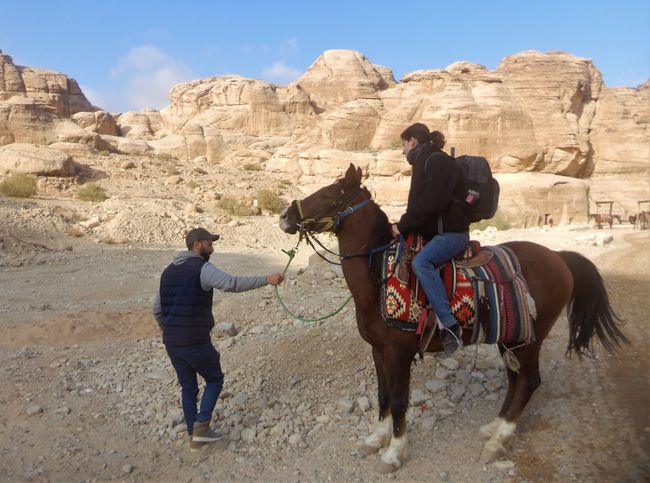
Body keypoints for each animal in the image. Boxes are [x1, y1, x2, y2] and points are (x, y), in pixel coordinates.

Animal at [276, 165, 624, 472]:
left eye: (328, 193)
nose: (284, 216)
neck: (379, 278)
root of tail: (559, 257)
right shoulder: (378, 350)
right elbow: (383, 395)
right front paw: (376, 439)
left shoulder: (399, 352)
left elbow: (399, 400)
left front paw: (394, 453)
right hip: (510, 337)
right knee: (515, 380)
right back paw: (493, 427)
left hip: (532, 337)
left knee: (528, 382)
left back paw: (498, 441)